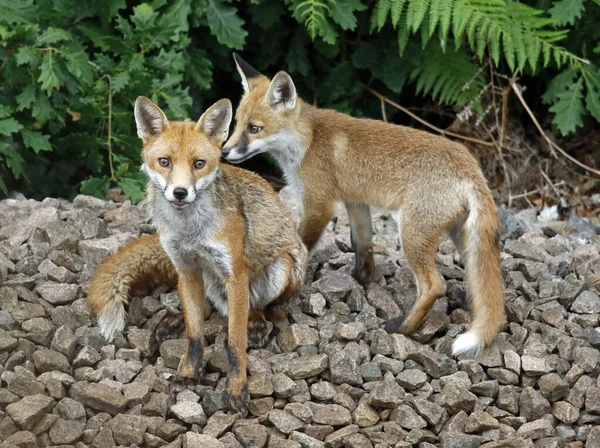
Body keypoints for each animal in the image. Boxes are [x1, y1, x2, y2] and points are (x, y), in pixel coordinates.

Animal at [88, 96, 310, 412]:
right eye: (165, 162)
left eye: (199, 164)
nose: (180, 193)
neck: (190, 231)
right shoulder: (186, 267)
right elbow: (195, 336)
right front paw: (188, 374)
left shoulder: (235, 274)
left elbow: (234, 343)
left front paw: (236, 388)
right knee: (206, 309)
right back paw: (177, 319)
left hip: (282, 267)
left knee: (262, 307)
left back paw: (256, 322)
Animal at [221, 54, 506, 356]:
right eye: (236, 124)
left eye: (255, 129)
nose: (224, 151)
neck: (308, 141)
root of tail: (471, 167)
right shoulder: (355, 201)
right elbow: (361, 242)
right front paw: (362, 278)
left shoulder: (319, 204)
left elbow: (300, 247)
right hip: (461, 237)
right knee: (480, 279)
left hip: (412, 234)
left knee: (434, 285)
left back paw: (403, 327)